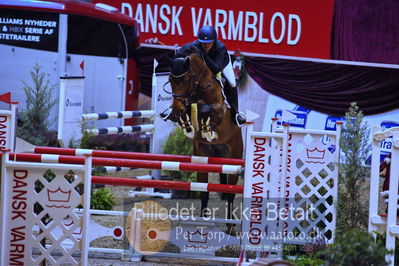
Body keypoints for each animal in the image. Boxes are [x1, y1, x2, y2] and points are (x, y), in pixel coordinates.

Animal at [166, 48, 244, 234]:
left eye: (184, 80)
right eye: (170, 80)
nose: (177, 109)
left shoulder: (218, 109)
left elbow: (206, 108)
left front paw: (205, 126)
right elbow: (191, 110)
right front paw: (187, 124)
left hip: (234, 159)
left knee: (231, 194)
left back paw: (231, 227)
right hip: (202, 157)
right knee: (204, 192)